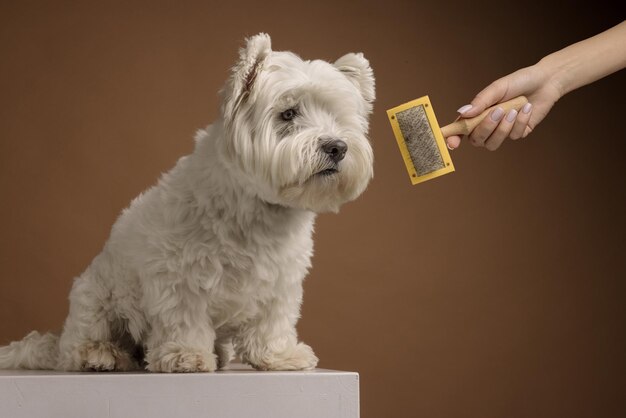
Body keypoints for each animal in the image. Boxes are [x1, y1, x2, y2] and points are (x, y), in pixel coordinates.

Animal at [0, 33, 370, 372]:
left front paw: (279, 356)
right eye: (288, 113)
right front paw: (186, 356)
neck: (257, 207)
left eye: (337, 117)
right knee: (81, 343)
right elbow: (185, 319)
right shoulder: (178, 275)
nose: (337, 147)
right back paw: (101, 354)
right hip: (95, 296)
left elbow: (272, 322)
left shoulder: (282, 281)